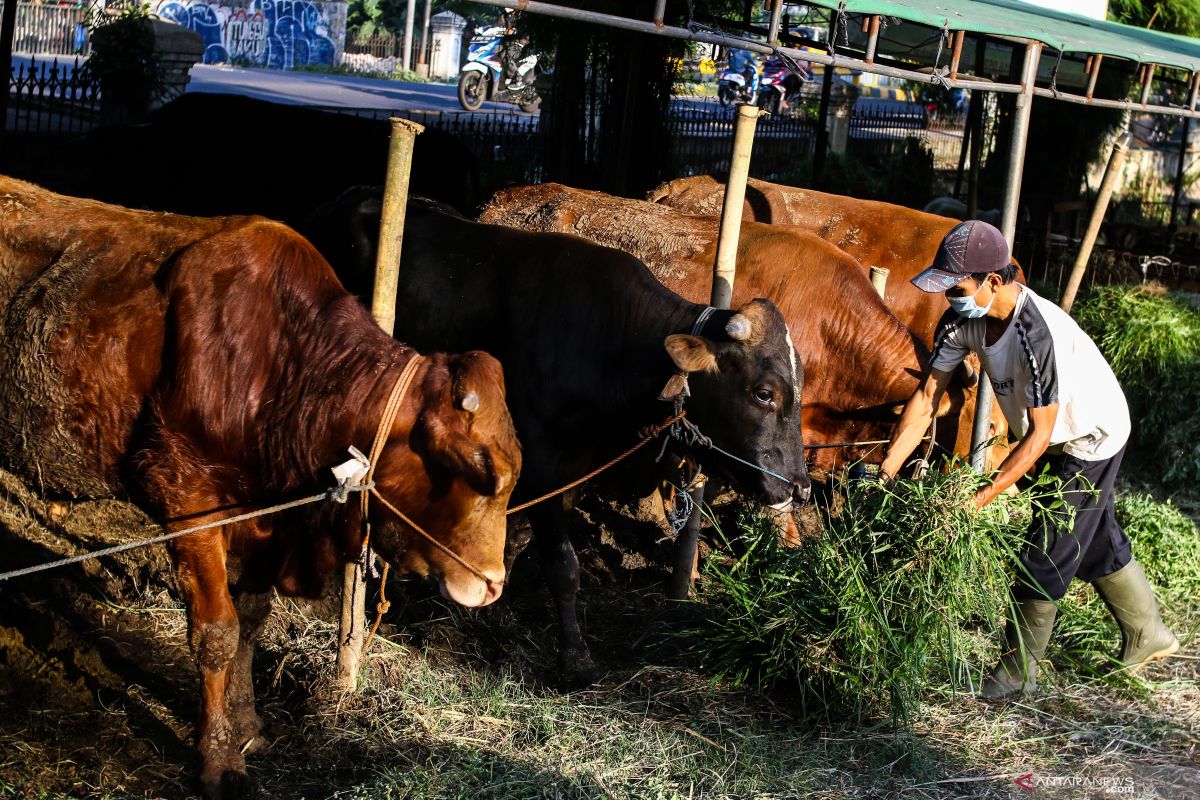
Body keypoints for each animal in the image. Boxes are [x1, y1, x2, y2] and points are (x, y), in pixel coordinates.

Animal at [1, 178, 525, 796]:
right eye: (475, 466)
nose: (493, 584)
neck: (281, 367)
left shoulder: (263, 521)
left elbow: (251, 622)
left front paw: (249, 725)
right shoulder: (188, 502)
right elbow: (218, 633)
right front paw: (218, 758)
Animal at [304, 191, 811, 681]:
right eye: (765, 393)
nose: (799, 487)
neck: (606, 340)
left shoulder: (575, 470)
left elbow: (515, 540)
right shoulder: (540, 461)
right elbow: (564, 564)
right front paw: (575, 658)